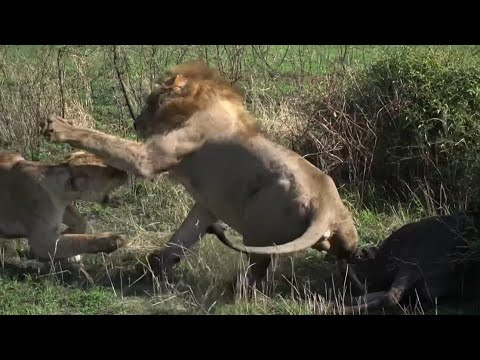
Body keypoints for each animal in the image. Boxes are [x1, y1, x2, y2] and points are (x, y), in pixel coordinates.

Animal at [0, 149, 128, 262]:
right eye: (111, 173)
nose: (125, 172)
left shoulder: (63, 208)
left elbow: (81, 222)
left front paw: (67, 235)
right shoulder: (42, 242)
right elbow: (78, 241)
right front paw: (113, 240)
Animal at [42, 59, 360, 286]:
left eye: (150, 102)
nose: (136, 123)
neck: (198, 103)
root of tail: (324, 208)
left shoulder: (151, 158)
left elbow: (102, 140)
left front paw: (61, 129)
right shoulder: (207, 205)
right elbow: (182, 237)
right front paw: (156, 265)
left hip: (258, 223)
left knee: (259, 272)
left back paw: (235, 290)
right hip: (341, 232)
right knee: (341, 253)